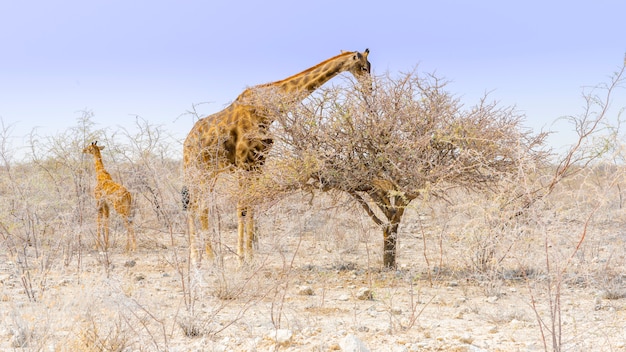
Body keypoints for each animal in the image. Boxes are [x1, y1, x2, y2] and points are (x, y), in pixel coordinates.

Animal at [182, 48, 370, 266]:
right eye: (363, 67)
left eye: (369, 66)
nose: (370, 88)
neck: (266, 112)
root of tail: (186, 143)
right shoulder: (243, 163)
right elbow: (241, 207)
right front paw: (240, 260)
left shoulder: (259, 163)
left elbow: (252, 205)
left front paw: (250, 257)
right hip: (198, 171)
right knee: (198, 207)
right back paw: (204, 258)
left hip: (210, 173)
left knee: (196, 206)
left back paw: (201, 257)